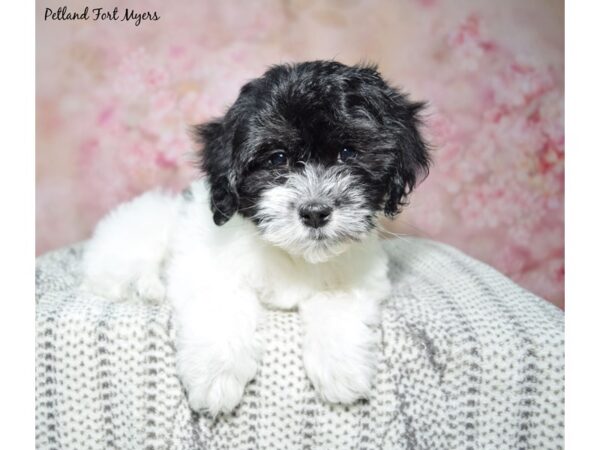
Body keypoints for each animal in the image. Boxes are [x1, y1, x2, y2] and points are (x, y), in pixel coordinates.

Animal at [82, 59, 428, 414]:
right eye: (277, 158)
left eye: (348, 153)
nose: (315, 212)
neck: (293, 255)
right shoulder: (207, 267)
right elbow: (222, 305)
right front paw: (215, 377)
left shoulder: (361, 275)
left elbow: (338, 300)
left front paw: (342, 369)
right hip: (144, 227)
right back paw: (146, 286)